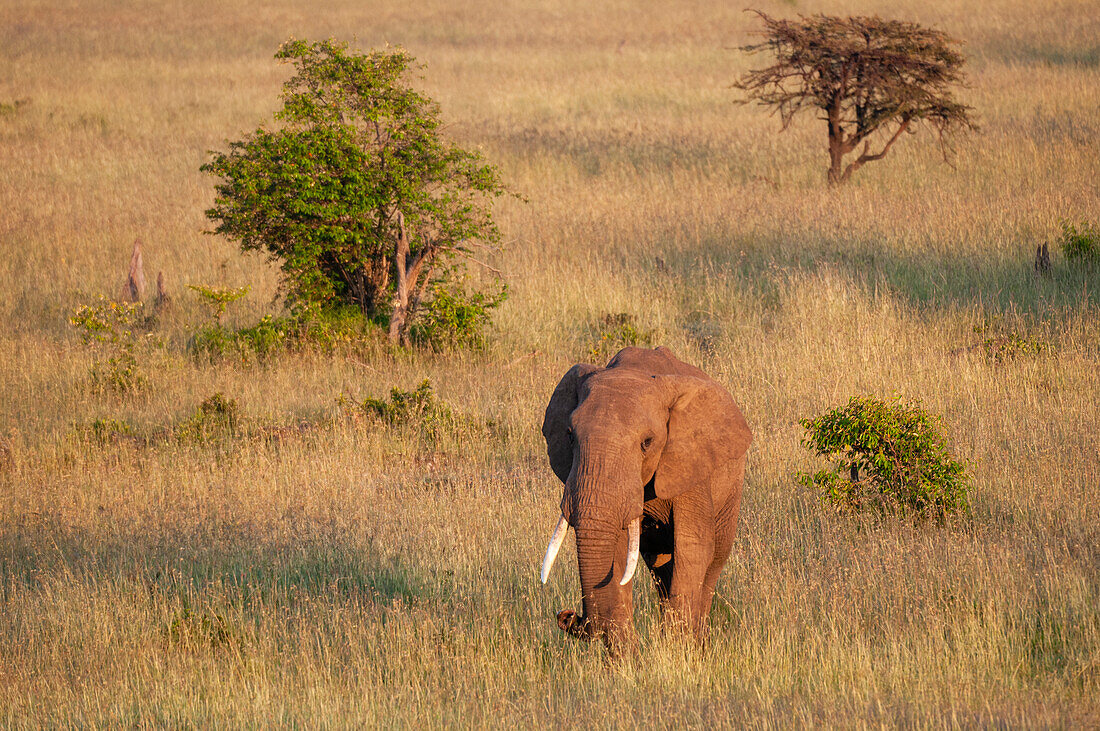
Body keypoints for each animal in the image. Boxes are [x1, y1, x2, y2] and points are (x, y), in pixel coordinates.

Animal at [539, 347, 752, 655]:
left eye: (647, 442)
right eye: (569, 435)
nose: (566, 616)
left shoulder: (690, 464)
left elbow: (693, 546)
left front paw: (680, 654)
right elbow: (617, 553)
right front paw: (627, 660)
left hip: (731, 487)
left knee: (713, 561)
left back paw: (698, 643)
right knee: (660, 568)